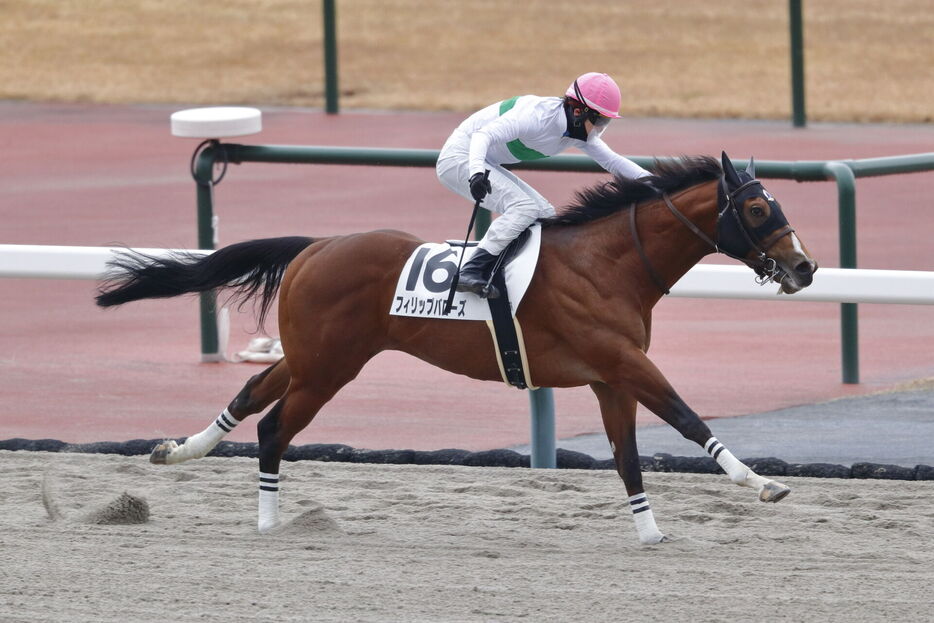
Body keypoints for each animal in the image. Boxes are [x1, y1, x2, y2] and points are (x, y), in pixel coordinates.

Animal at [98, 154, 820, 544]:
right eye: (758, 210)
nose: (805, 267)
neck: (608, 263)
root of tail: (314, 245)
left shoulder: (609, 376)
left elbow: (628, 457)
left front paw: (649, 531)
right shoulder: (625, 363)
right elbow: (690, 419)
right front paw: (763, 484)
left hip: (312, 357)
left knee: (251, 394)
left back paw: (178, 450)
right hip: (329, 367)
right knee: (275, 425)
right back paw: (270, 521)